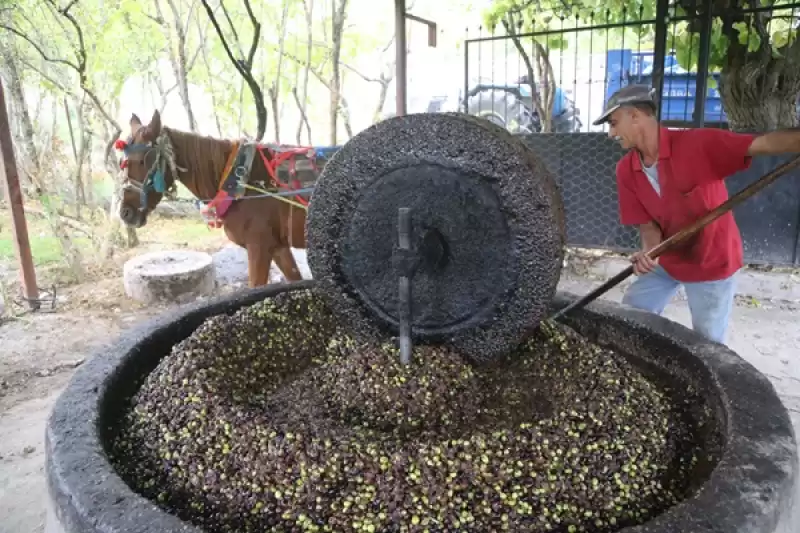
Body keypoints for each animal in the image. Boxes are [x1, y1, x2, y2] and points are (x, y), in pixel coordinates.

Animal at [117, 107, 310, 286]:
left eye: (143, 160)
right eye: (122, 162)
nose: (125, 213)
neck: (240, 182)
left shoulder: (259, 248)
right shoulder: (278, 247)